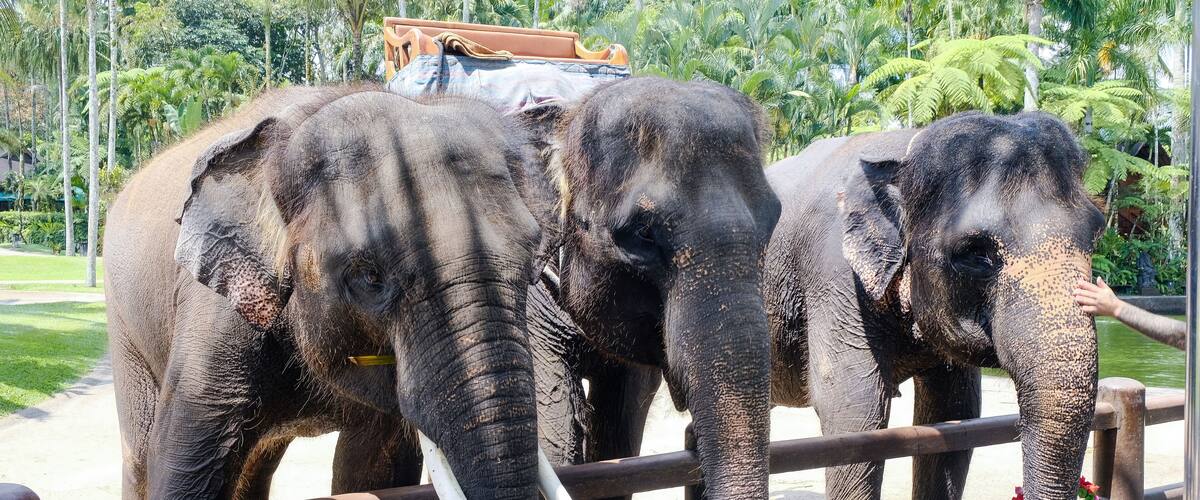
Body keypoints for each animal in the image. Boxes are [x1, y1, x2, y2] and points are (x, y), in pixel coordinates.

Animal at [104, 86, 545, 499]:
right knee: (141, 457)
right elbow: (184, 469)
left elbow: (374, 470)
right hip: (124, 326)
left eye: (533, 261)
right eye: (369, 276)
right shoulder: (214, 316)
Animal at [763, 112, 1104, 499]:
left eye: (1097, 234)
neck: (905, 151)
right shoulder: (834, 275)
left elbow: (954, 412)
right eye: (975, 253)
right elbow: (855, 409)